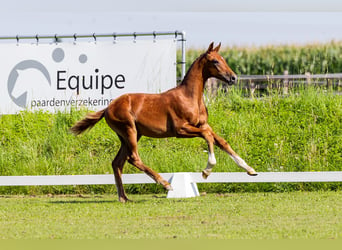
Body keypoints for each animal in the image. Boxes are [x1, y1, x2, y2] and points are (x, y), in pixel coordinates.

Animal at [71, 42, 256, 202]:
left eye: (224, 59)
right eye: (215, 61)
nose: (233, 78)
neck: (189, 97)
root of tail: (108, 108)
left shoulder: (203, 125)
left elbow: (221, 141)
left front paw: (250, 170)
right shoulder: (181, 130)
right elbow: (207, 136)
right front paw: (206, 171)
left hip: (129, 136)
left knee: (117, 163)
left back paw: (124, 198)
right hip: (129, 131)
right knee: (133, 158)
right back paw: (166, 184)